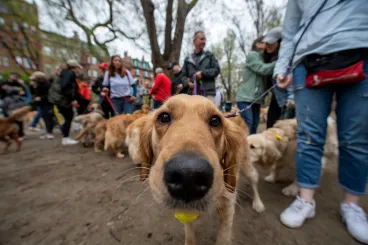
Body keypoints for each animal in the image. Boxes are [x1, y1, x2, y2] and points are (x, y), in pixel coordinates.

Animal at [134, 95, 264, 245]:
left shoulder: (227, 210)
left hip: (247, 166)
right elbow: (190, 237)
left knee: (254, 180)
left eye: (215, 121)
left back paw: (258, 203)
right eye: (164, 117)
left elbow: (223, 238)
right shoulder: (186, 214)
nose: (188, 175)